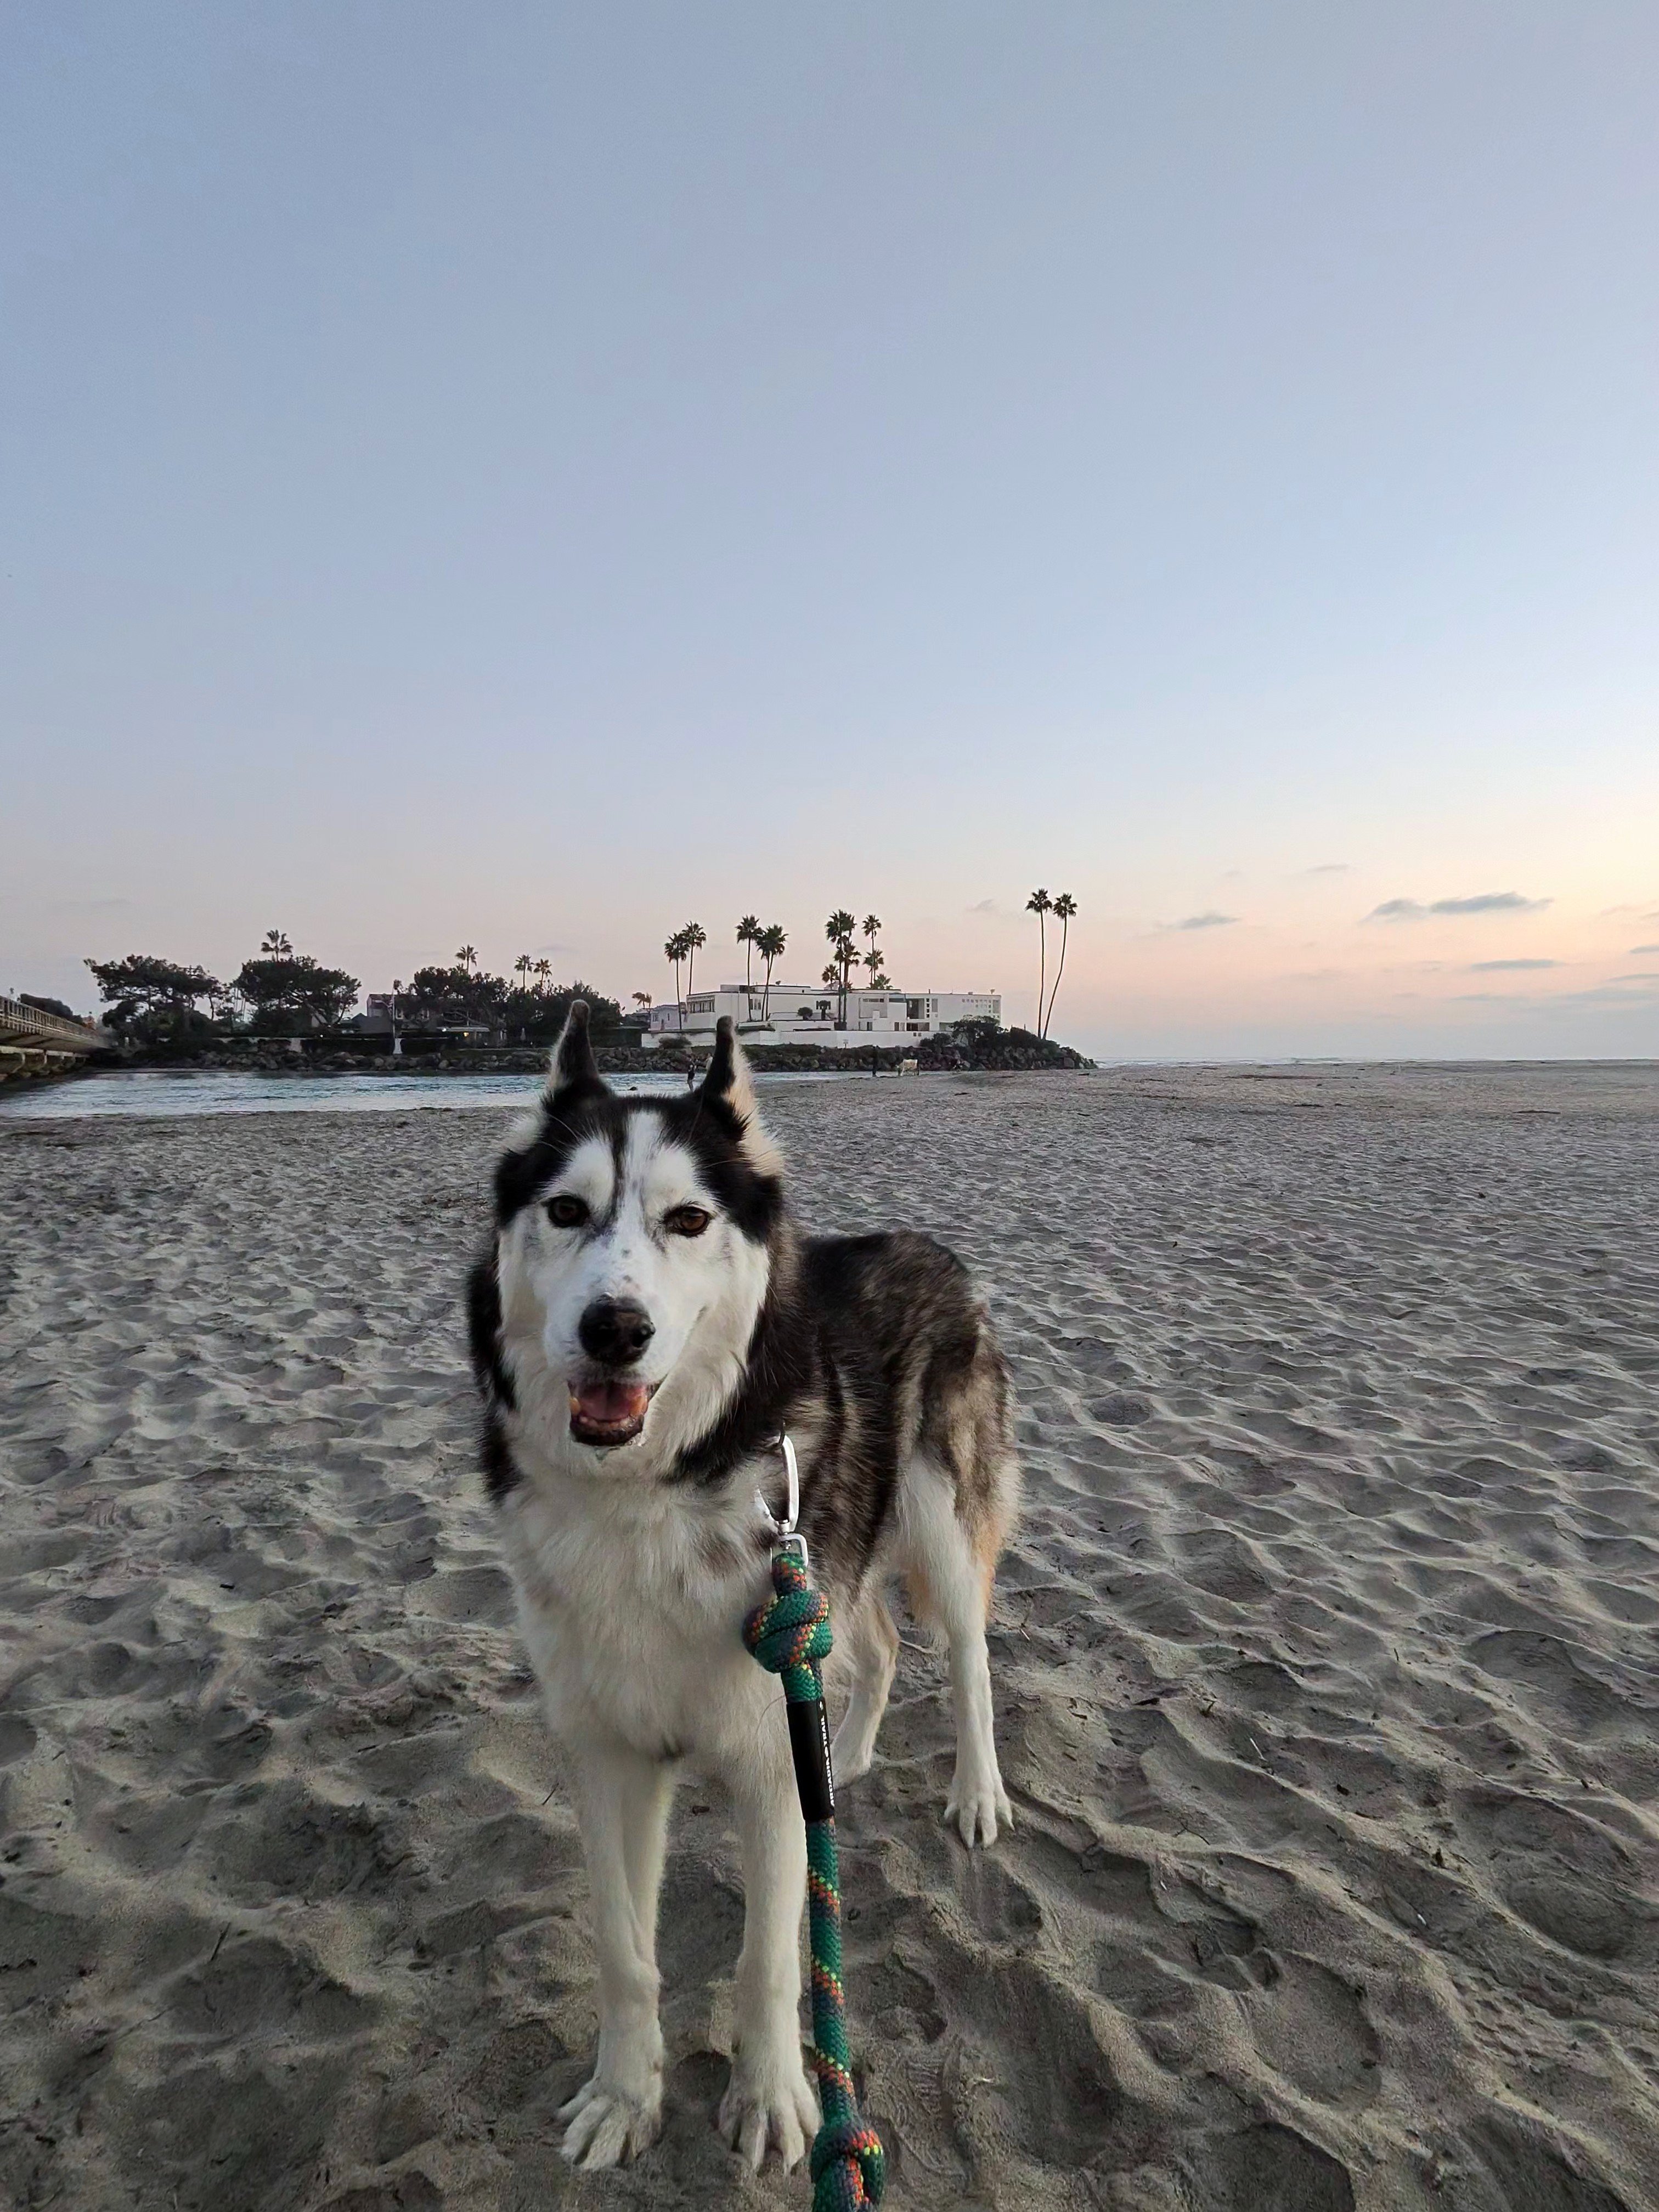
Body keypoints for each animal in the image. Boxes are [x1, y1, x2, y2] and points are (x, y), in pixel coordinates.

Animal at [466, 1005, 1019, 2172]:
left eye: (686, 1219)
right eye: (565, 1210)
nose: (613, 1328)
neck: (647, 1490)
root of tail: (928, 1246)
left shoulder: (764, 1756)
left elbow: (770, 1958)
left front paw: (773, 2100)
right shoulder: (608, 1752)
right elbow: (623, 1949)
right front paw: (623, 2095)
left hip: (936, 1526)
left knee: (964, 1659)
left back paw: (974, 1793)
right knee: (874, 1650)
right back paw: (843, 1759)